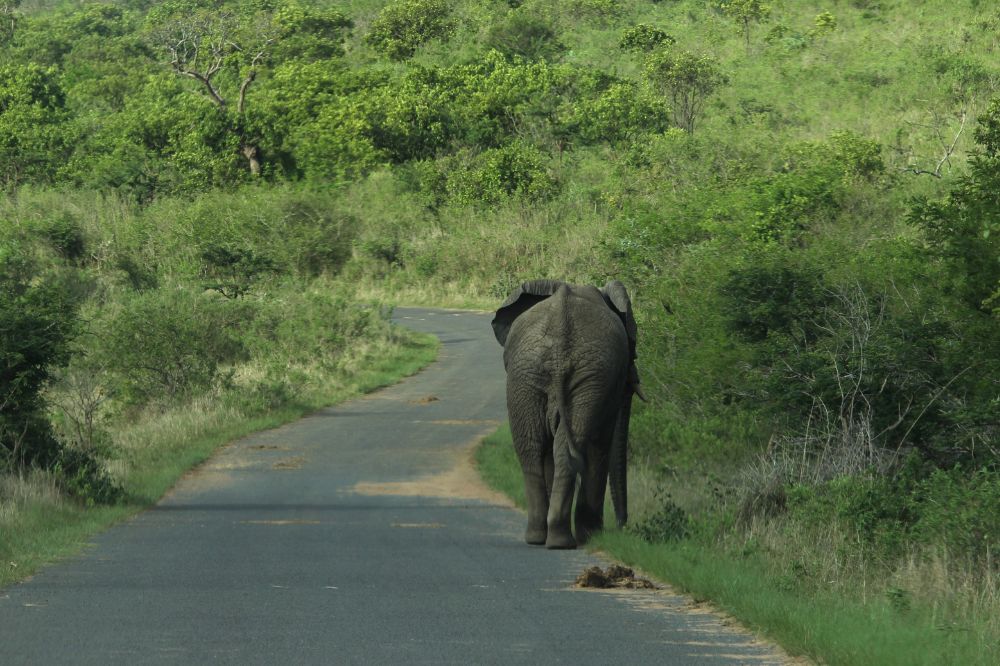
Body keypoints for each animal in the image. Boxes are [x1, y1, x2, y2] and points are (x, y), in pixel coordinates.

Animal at [492, 279, 642, 549]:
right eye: (632, 351)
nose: (622, 526)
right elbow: (601, 445)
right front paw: (593, 534)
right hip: (574, 375)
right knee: (575, 446)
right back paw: (564, 540)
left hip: (533, 376)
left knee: (533, 448)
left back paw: (542, 538)